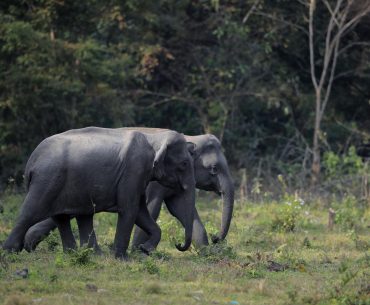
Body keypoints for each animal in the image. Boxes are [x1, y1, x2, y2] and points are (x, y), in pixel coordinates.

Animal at [23, 129, 233, 251]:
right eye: (214, 169)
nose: (216, 238)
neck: (190, 137)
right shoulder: (151, 180)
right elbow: (152, 207)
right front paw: (139, 251)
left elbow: (180, 209)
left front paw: (205, 252)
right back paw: (29, 244)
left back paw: (30, 243)